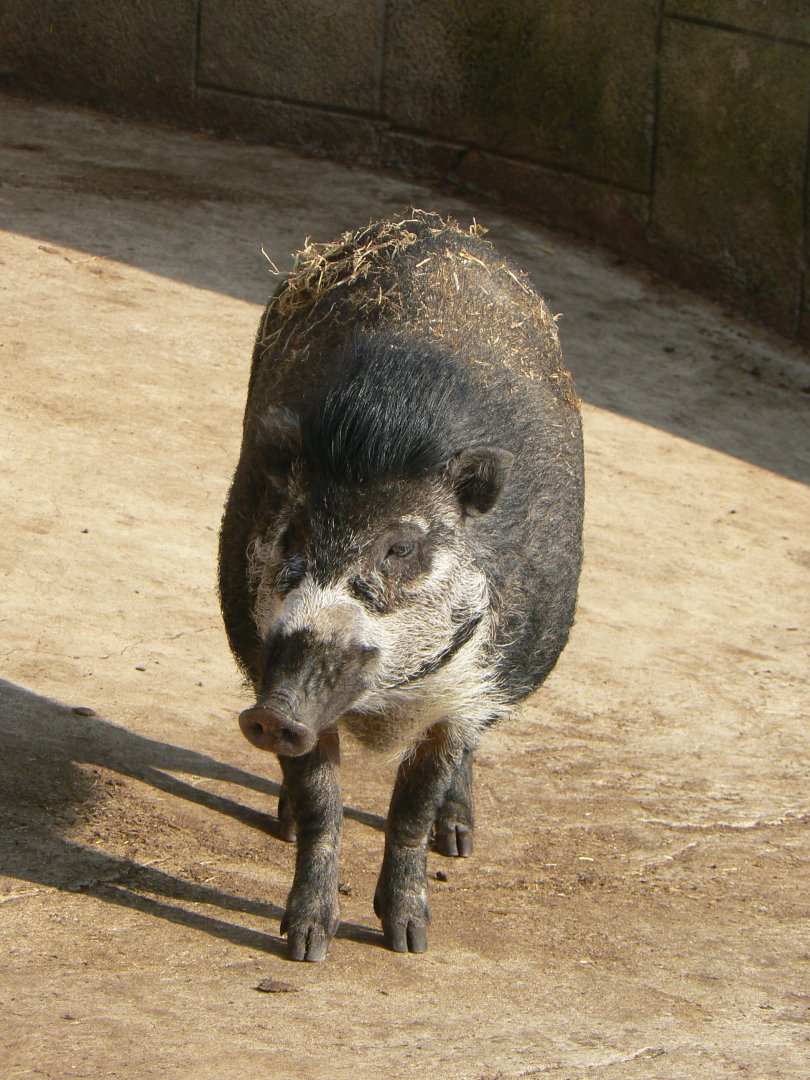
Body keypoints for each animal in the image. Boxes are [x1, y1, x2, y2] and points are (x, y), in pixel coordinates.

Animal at [218, 210, 583, 961]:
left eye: (400, 547)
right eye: (292, 533)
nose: (273, 714)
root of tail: (439, 226)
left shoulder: (467, 691)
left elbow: (412, 804)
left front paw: (409, 941)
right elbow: (323, 801)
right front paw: (305, 946)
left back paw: (459, 842)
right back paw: (282, 822)